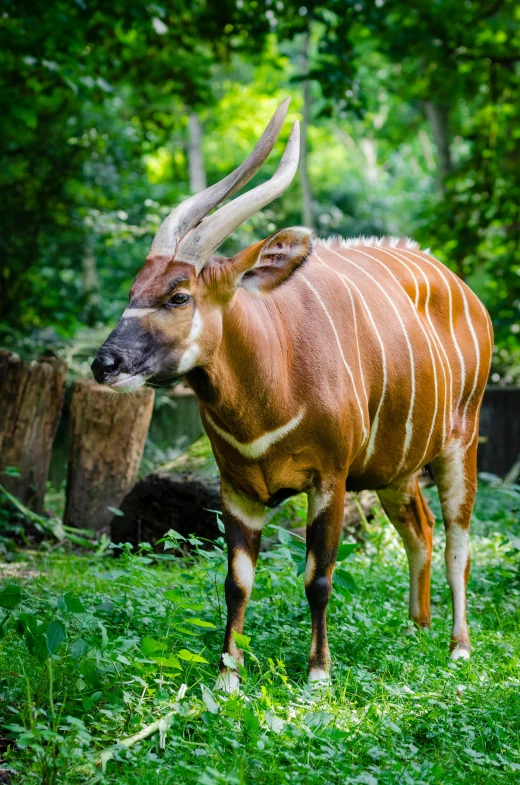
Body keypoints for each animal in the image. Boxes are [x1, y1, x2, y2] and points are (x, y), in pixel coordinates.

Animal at [91, 99, 494, 692]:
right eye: (133, 291)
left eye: (179, 295)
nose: (105, 363)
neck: (270, 388)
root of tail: (467, 291)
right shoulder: (237, 488)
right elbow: (236, 581)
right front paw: (227, 679)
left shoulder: (329, 479)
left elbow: (318, 576)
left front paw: (318, 675)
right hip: (395, 470)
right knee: (418, 530)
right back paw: (415, 630)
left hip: (459, 445)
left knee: (457, 541)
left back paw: (458, 648)